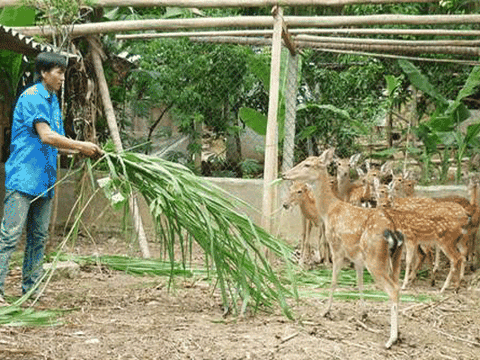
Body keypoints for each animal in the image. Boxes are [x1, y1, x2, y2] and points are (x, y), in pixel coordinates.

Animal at [284, 150, 404, 350]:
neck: (329, 210)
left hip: (375, 258)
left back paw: (390, 340)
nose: (285, 174)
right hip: (394, 259)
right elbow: (359, 282)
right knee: (398, 286)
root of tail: (393, 231)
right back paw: (399, 334)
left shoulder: (337, 247)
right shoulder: (357, 258)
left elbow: (333, 281)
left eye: (308, 164)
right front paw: (363, 313)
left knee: (393, 289)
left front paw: (325, 310)